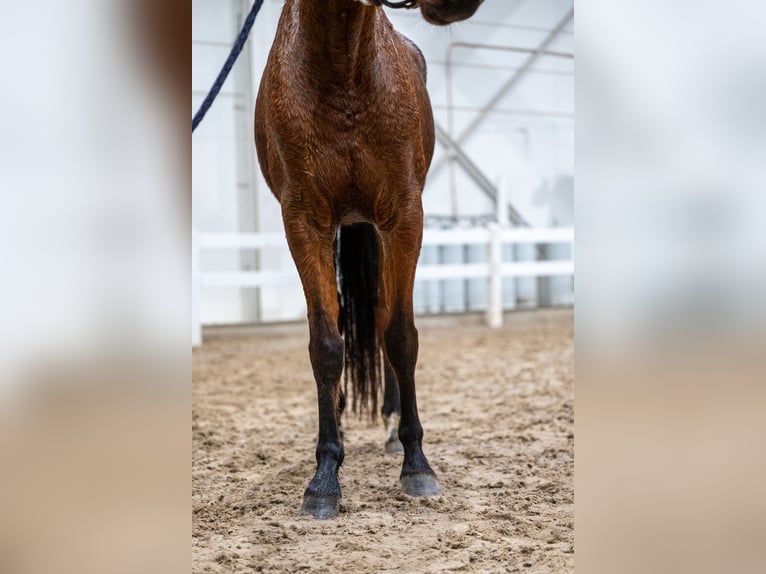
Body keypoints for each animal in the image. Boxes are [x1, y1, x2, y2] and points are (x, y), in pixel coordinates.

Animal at [258, 0, 486, 520]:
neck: (344, 70)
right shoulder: (304, 222)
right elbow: (326, 344)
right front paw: (325, 476)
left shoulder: (404, 216)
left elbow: (400, 336)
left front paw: (417, 464)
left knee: (382, 315)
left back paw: (392, 426)